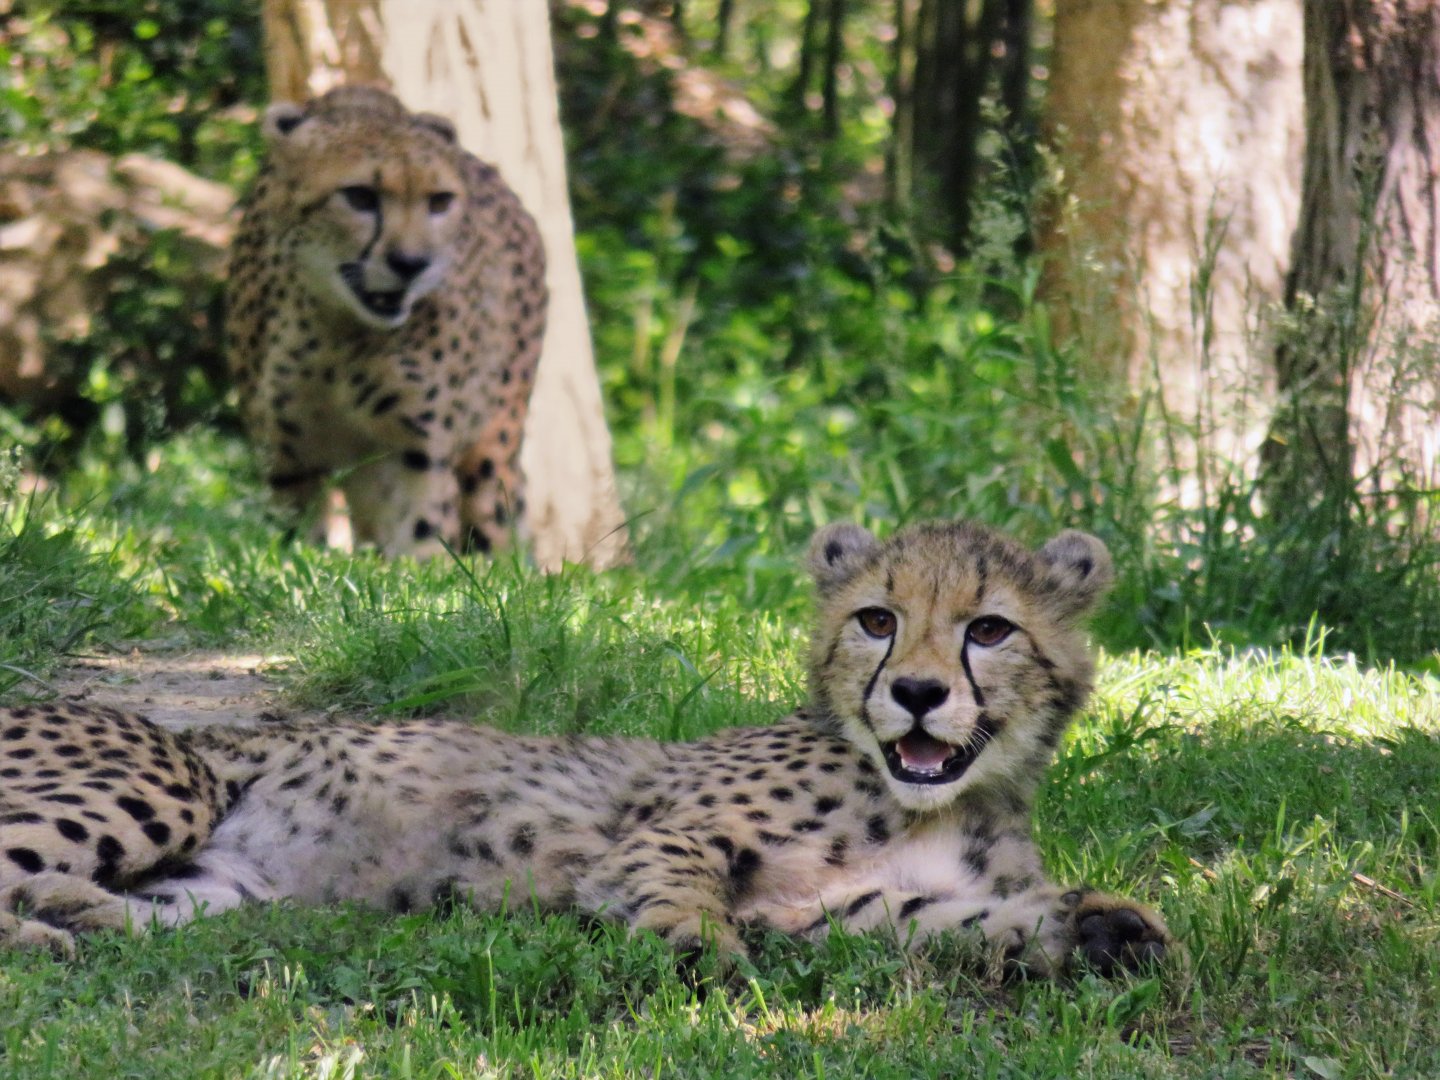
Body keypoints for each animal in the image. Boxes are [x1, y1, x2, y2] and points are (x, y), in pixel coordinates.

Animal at [0, 518, 1170, 978]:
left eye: (989, 629)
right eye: (877, 620)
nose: (919, 695)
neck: (945, 794)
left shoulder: (836, 908)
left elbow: (968, 917)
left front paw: (1102, 927)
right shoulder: (668, 836)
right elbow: (675, 877)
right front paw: (696, 950)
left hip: (223, 885)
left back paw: (71, 919)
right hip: (166, 775)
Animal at [226, 86, 547, 558]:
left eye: (439, 201)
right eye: (359, 196)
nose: (411, 264)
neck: (336, 330)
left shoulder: (419, 449)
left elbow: (423, 535)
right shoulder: (288, 457)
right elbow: (298, 534)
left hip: (491, 445)